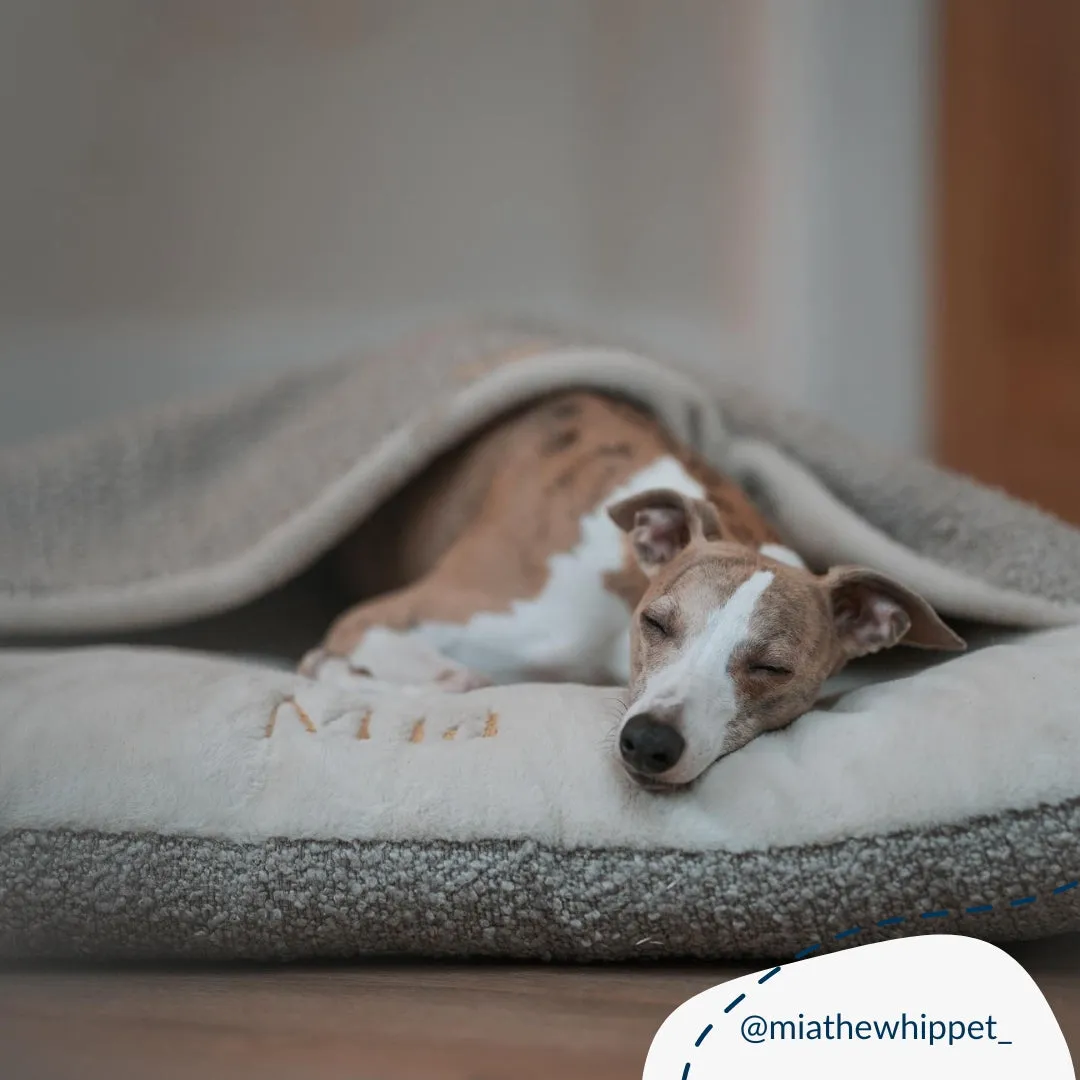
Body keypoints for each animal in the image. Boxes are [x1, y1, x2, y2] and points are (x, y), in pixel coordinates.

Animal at [300, 388, 967, 786]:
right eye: (657, 623)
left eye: (773, 669)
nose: (649, 743)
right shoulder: (375, 620)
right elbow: (458, 676)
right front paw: (341, 672)